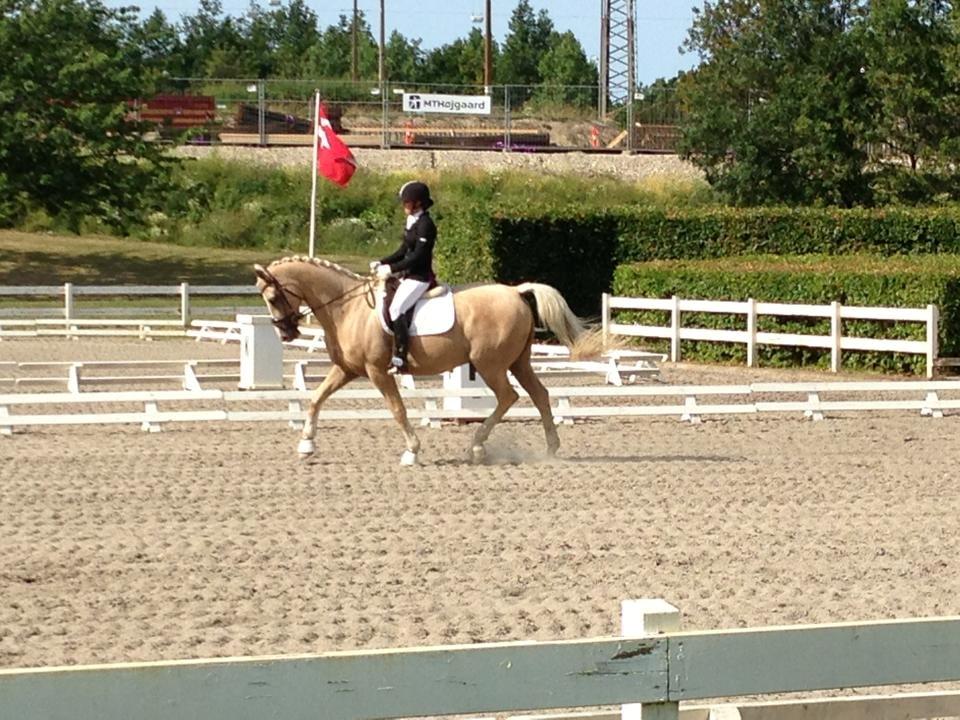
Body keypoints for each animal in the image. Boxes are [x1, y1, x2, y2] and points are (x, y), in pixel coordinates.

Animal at [253, 256, 592, 464]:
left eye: (272, 297)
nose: (286, 333)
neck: (347, 308)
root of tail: (516, 291)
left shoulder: (377, 371)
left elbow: (397, 409)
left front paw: (412, 452)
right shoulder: (347, 369)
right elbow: (316, 398)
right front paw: (306, 445)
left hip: (490, 365)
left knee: (509, 396)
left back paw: (476, 446)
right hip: (517, 362)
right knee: (539, 394)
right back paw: (551, 449)